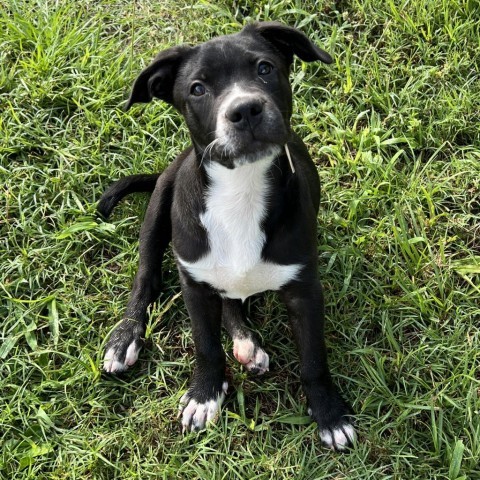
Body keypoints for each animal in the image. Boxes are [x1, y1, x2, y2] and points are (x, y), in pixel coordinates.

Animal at [99, 21, 356, 450]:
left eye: (265, 68)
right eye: (197, 89)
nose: (245, 109)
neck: (241, 189)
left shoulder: (304, 290)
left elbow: (313, 358)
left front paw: (330, 413)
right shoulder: (195, 286)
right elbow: (206, 346)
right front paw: (204, 394)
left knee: (235, 298)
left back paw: (246, 343)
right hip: (161, 204)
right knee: (147, 278)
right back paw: (126, 336)